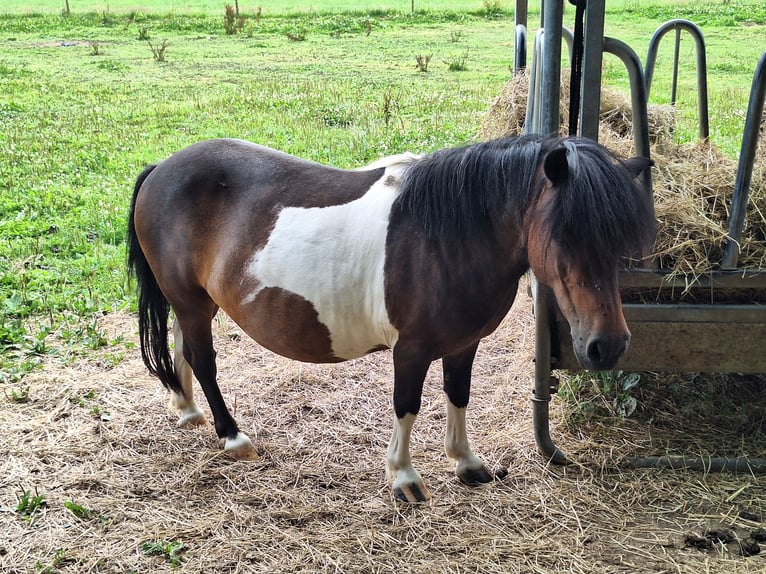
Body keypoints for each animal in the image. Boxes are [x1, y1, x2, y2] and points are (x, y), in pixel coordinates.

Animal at [127, 134, 655, 503]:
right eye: (564, 236)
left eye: (619, 242)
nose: (608, 346)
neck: (449, 235)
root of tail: (160, 169)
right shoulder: (412, 350)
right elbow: (407, 405)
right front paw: (404, 477)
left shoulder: (464, 345)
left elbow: (457, 396)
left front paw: (467, 463)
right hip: (191, 302)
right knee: (203, 359)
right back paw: (232, 436)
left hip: (195, 302)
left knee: (182, 349)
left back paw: (188, 411)